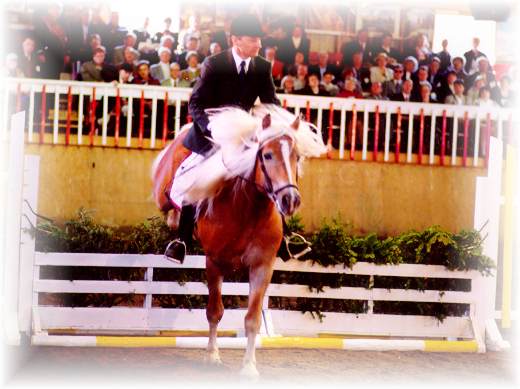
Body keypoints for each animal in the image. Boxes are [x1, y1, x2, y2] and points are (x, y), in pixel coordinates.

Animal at [150, 104, 324, 378]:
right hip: (162, 191)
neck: (248, 208)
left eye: (296, 156)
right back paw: (174, 221)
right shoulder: (214, 263)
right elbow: (214, 312)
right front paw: (212, 356)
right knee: (167, 203)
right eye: (267, 155)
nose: (290, 200)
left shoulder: (262, 267)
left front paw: (249, 367)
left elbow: (252, 319)